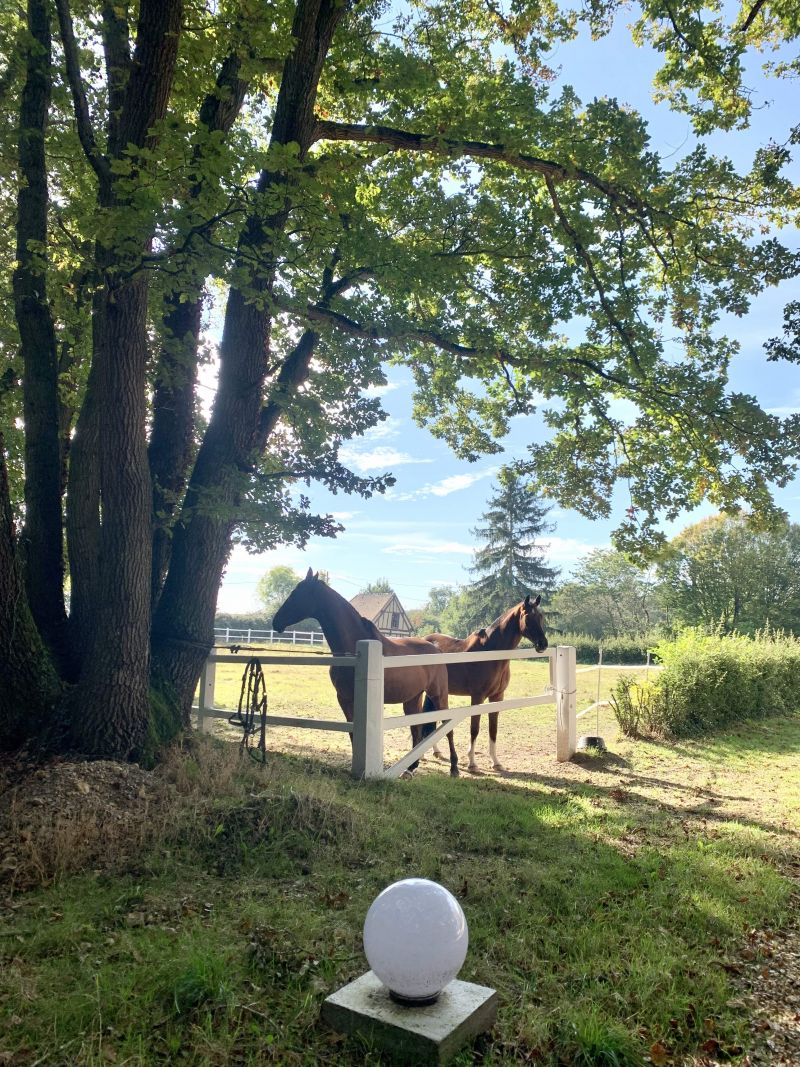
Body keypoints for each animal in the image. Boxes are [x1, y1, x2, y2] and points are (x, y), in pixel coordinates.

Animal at [270, 576, 460, 776]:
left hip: (439, 695)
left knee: (447, 726)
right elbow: (352, 731)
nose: (276, 622)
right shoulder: (344, 699)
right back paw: (410, 768)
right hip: (412, 698)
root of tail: (436, 648)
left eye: (297, 594)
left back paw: (454, 768)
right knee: (416, 727)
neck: (352, 649)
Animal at [426, 597, 550, 772]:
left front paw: (496, 762)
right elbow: (474, 729)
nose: (543, 644)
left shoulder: (497, 697)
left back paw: (436, 752)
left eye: (540, 616)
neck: (490, 651)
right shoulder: (477, 697)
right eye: (527, 617)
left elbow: (493, 729)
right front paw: (472, 763)